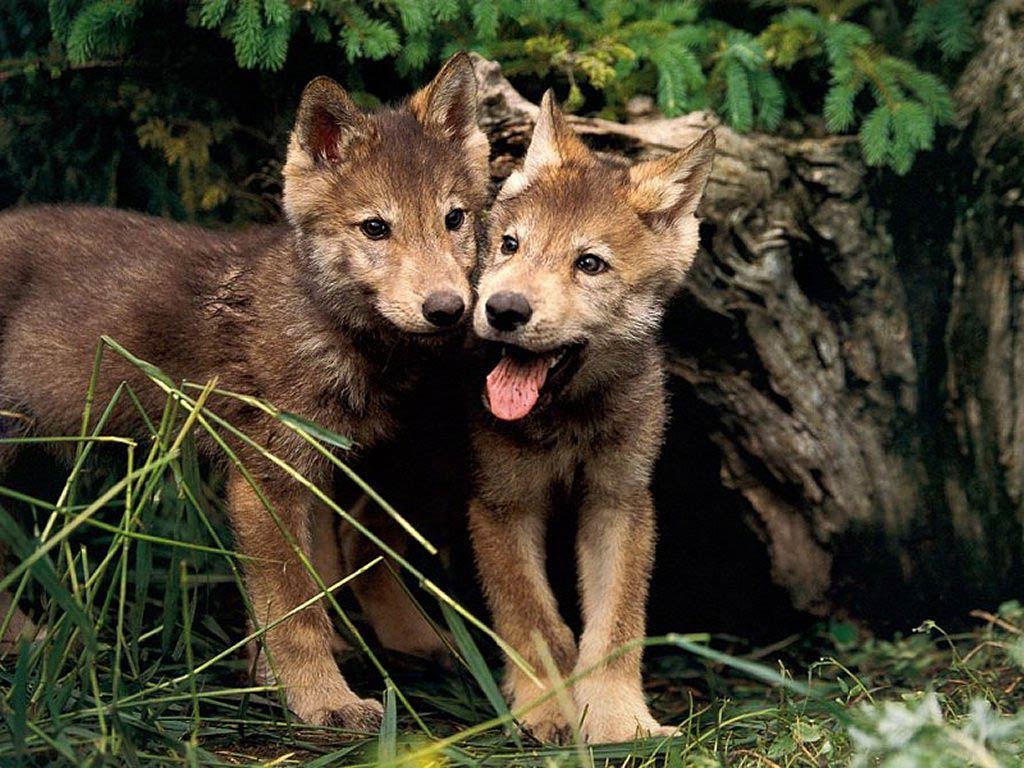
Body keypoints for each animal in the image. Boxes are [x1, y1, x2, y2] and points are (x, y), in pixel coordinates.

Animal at [0, 53, 489, 729]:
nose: (447, 309)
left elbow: (311, 587)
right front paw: (322, 701)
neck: (324, 328)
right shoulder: (265, 478)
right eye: (375, 228)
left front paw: (280, 675)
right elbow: (293, 612)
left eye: (454, 219)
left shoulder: (319, 468)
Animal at [467, 92, 715, 744]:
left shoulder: (619, 501)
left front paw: (618, 720)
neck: (568, 421)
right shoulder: (501, 505)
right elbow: (534, 620)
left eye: (590, 264)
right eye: (510, 245)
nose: (503, 309)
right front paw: (546, 710)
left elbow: (616, 627)